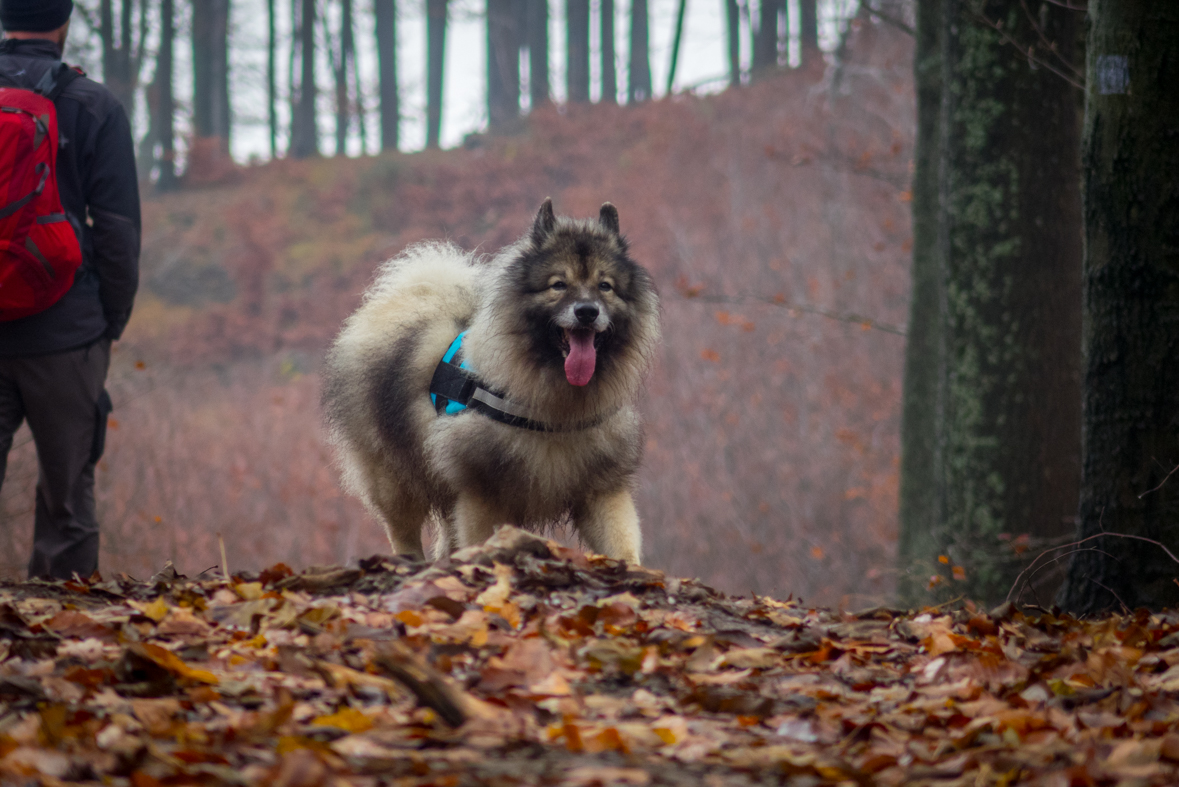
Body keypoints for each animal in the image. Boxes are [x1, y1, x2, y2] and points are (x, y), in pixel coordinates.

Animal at [318, 200, 660, 563]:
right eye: (558, 284)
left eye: (604, 286)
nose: (587, 311)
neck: (555, 408)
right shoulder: (480, 492)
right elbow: (480, 539)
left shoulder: (601, 488)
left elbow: (622, 544)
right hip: (393, 478)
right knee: (403, 530)